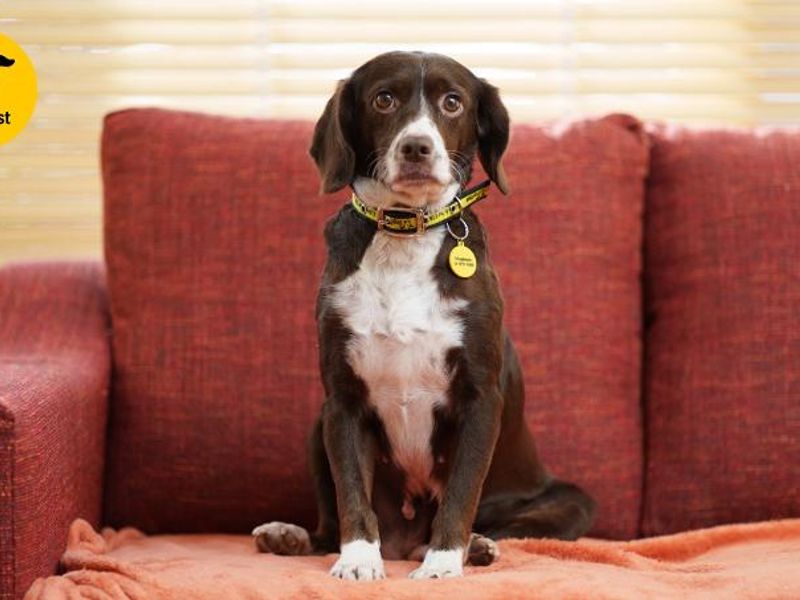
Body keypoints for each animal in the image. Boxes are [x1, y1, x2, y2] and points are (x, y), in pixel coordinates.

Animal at [253, 52, 596, 580]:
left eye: (452, 102)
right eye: (383, 99)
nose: (417, 146)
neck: (404, 233)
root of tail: (405, 538)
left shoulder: (480, 399)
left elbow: (460, 493)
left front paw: (443, 564)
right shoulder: (342, 402)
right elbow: (352, 493)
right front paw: (358, 560)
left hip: (570, 500)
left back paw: (473, 547)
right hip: (317, 427)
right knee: (329, 525)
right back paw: (290, 536)